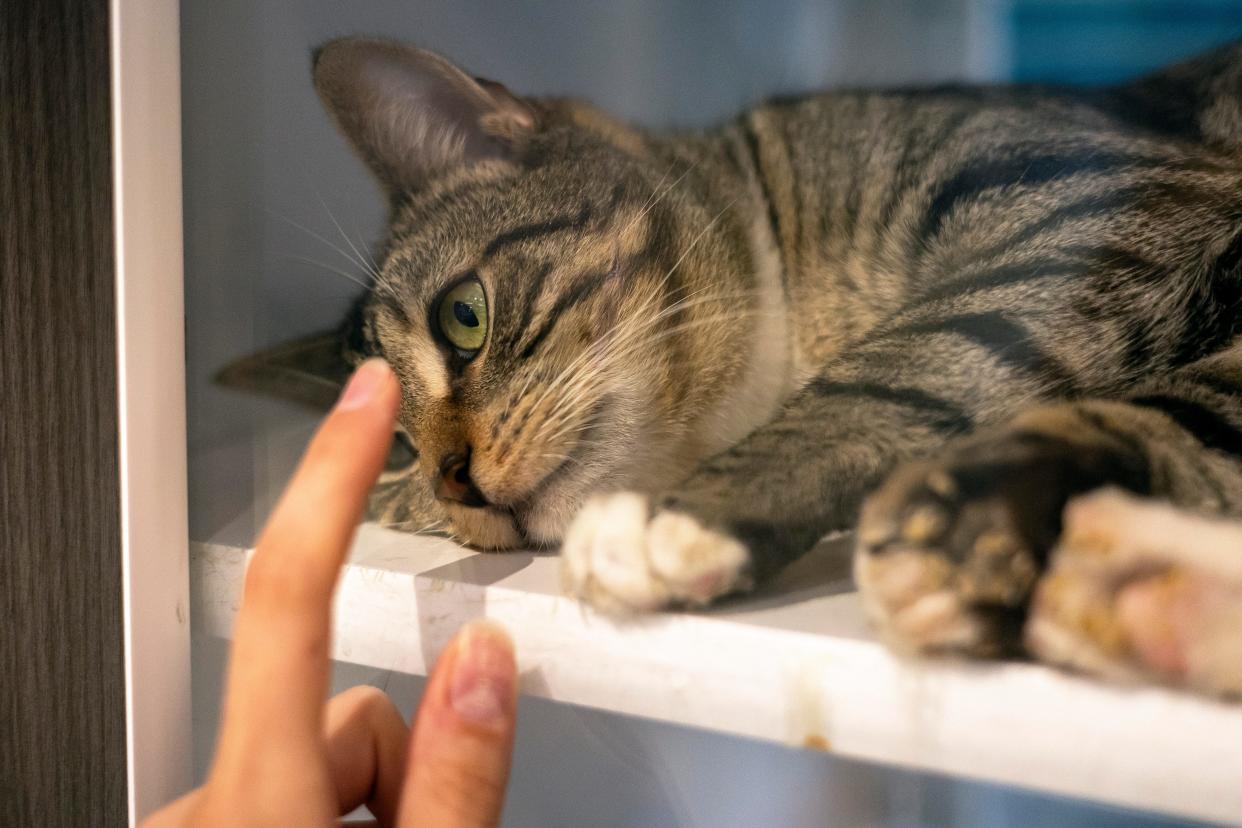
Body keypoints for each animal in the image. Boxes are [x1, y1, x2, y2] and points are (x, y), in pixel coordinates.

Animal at [223, 37, 1242, 700]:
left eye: (463, 318)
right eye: (394, 454)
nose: (453, 479)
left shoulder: (1098, 206)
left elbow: (914, 358)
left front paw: (688, 516)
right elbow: (1187, 419)